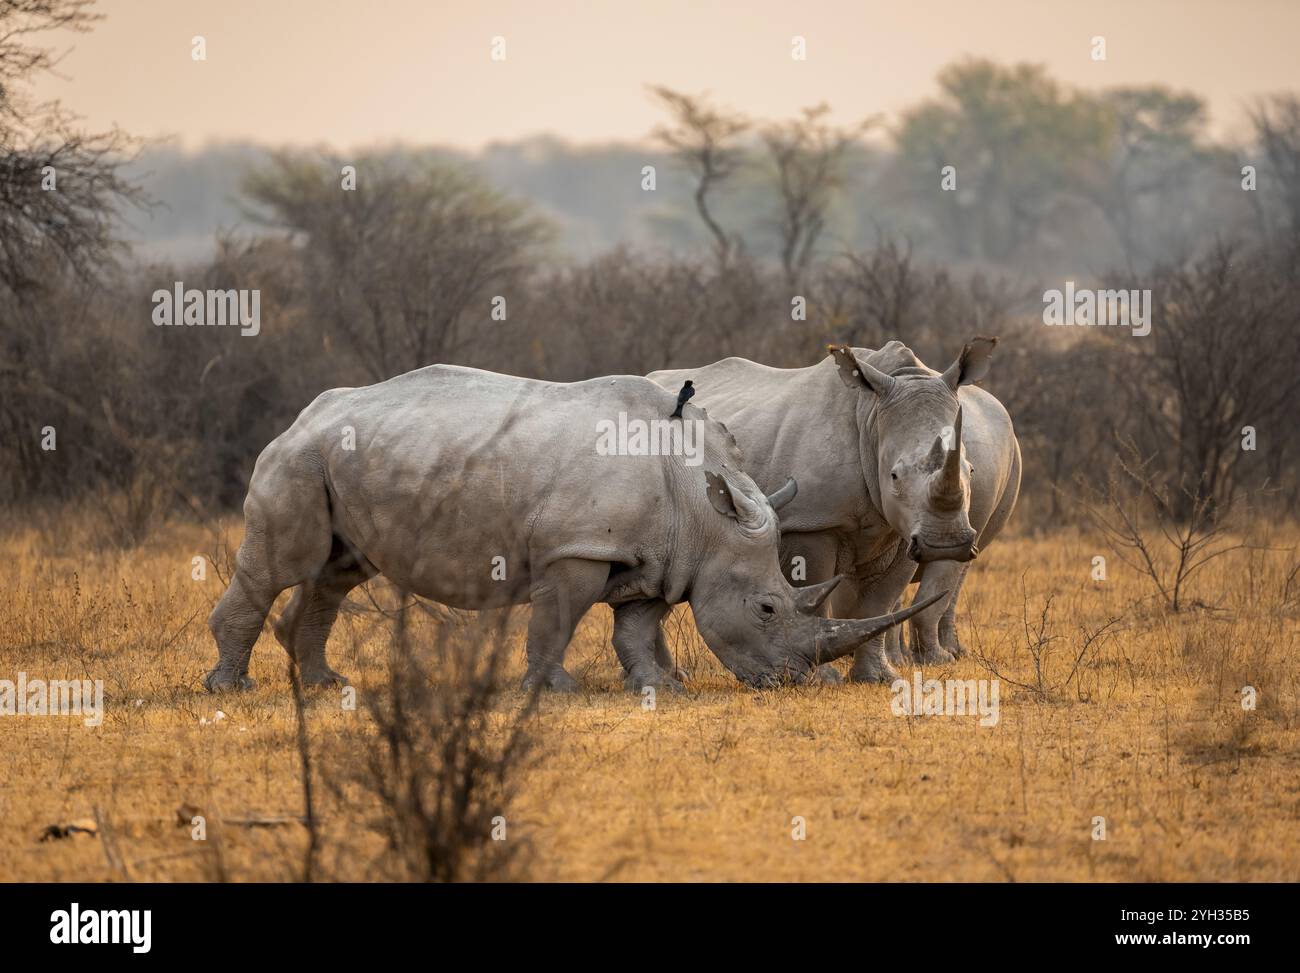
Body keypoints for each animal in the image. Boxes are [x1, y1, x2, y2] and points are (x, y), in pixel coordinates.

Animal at [202, 364, 941, 692]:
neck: (703, 508)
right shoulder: (576, 549)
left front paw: (659, 689)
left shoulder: (662, 557)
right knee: (282, 566)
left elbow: (636, 625)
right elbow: (557, 619)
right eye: (766, 607)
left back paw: (324, 686)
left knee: (336, 572)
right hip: (299, 459)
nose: (798, 681)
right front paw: (551, 690)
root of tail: (304, 413)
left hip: (343, 459)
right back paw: (232, 689)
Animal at [647, 340, 1013, 681]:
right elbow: (817, 588)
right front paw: (825, 678)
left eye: (971, 471)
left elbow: (880, 601)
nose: (946, 544)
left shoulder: (904, 529)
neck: (872, 416)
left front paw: (878, 677)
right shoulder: (812, 521)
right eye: (894, 476)